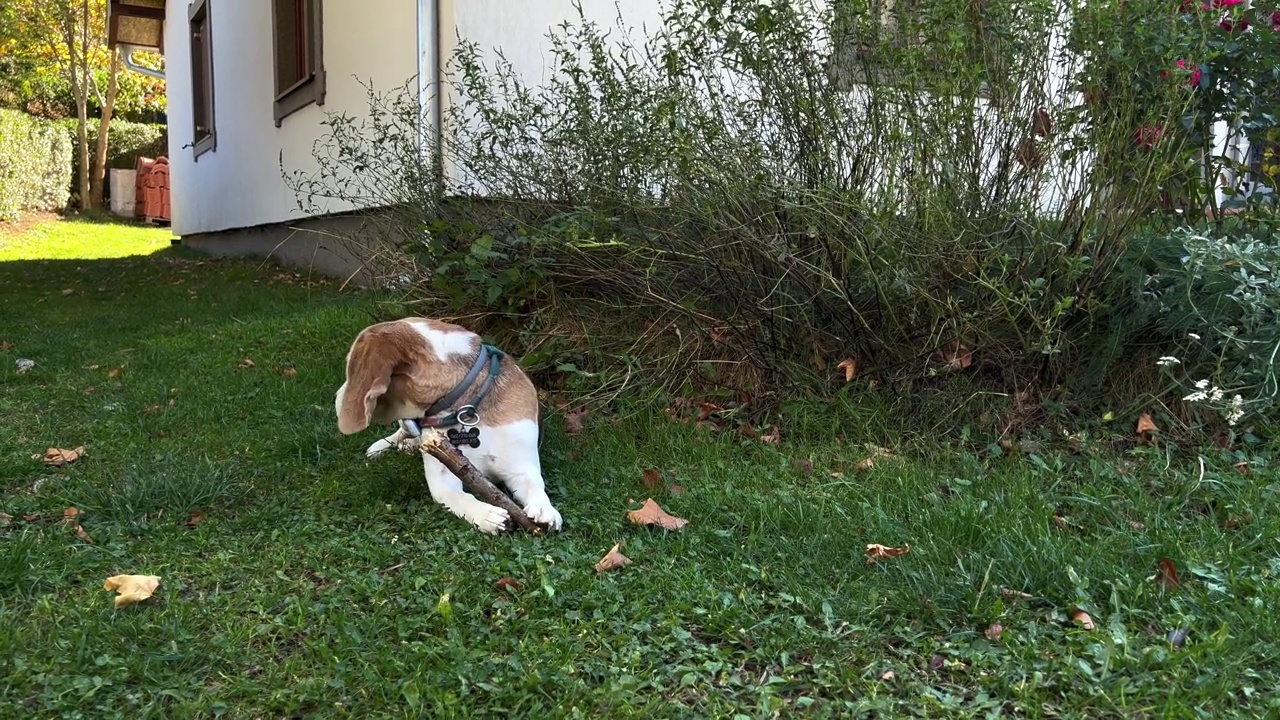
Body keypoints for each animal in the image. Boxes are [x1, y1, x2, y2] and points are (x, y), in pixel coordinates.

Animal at [337, 316, 563, 530]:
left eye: (349, 370)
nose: (337, 396)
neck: (465, 410)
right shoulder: (444, 477)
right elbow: (460, 497)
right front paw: (486, 515)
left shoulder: (521, 468)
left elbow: (535, 485)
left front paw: (544, 509)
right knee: (402, 431)